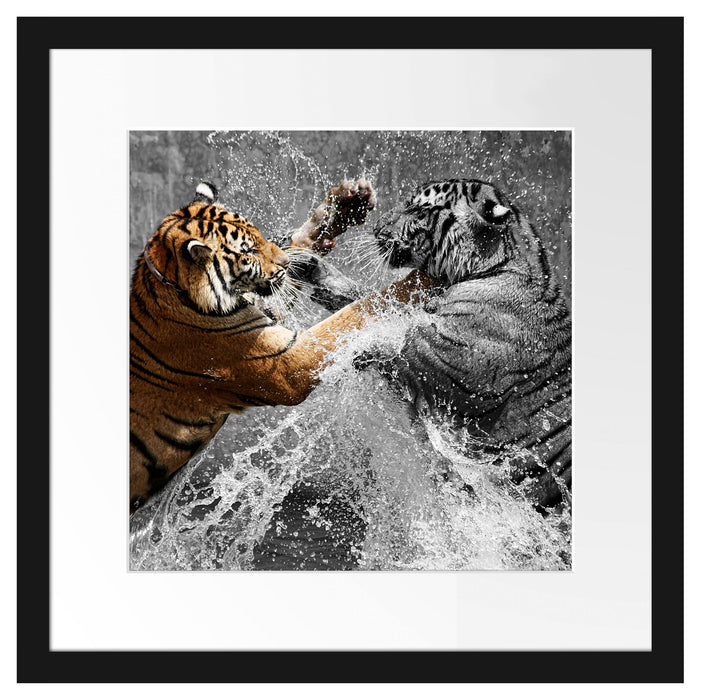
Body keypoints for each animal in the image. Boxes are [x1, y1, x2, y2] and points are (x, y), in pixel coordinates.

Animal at [129, 180, 434, 513]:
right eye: (248, 251)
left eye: (260, 236)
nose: (286, 264)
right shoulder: (288, 364)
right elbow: (352, 314)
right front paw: (419, 281)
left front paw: (345, 204)